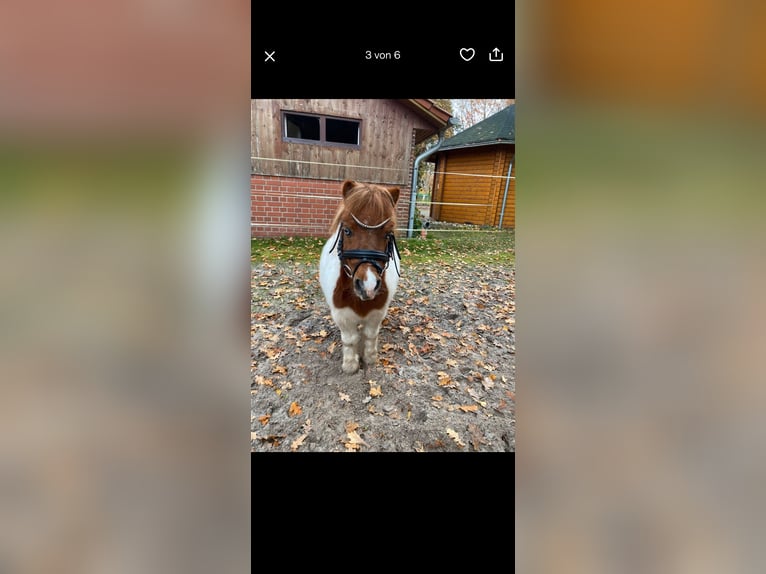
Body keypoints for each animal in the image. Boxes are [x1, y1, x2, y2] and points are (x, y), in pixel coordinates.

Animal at [319, 180, 401, 374]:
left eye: (388, 234)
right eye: (347, 230)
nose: (368, 285)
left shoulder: (377, 313)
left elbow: (370, 335)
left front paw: (370, 358)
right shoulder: (342, 316)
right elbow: (350, 340)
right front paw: (350, 365)